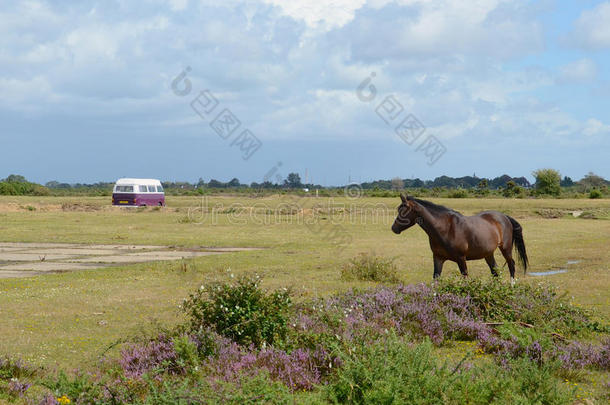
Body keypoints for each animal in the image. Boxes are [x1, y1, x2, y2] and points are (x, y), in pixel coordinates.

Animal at [392, 194, 524, 282]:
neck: (445, 229)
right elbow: (436, 279)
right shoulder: (438, 258)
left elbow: (465, 279)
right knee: (495, 271)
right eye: (398, 209)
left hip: (505, 249)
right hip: (488, 253)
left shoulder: (461, 258)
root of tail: (504, 217)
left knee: (511, 266)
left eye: (403, 210)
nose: (394, 228)